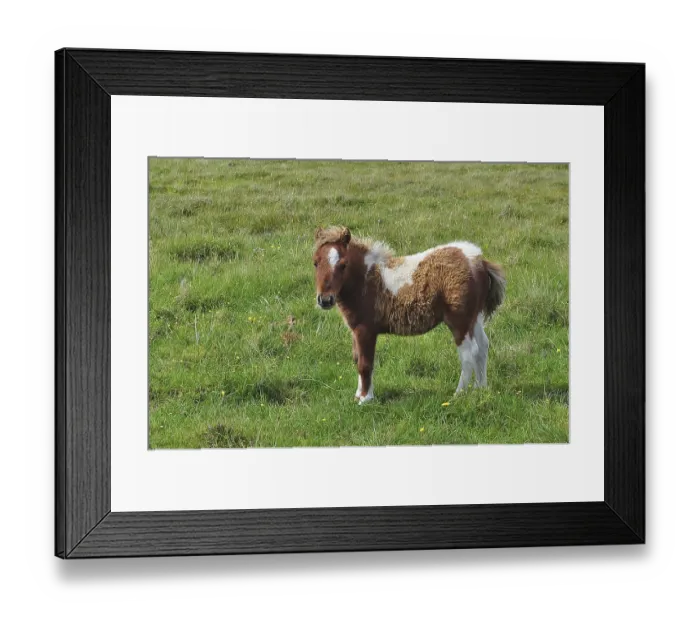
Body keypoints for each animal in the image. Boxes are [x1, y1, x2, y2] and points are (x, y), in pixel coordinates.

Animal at [313, 226, 506, 404]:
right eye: (315, 263)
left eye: (343, 265)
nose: (325, 300)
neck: (366, 280)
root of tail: (480, 262)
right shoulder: (355, 331)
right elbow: (357, 359)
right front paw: (358, 395)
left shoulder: (365, 330)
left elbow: (365, 364)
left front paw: (365, 399)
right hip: (475, 318)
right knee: (483, 347)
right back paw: (480, 389)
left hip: (460, 321)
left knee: (468, 353)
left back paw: (458, 394)